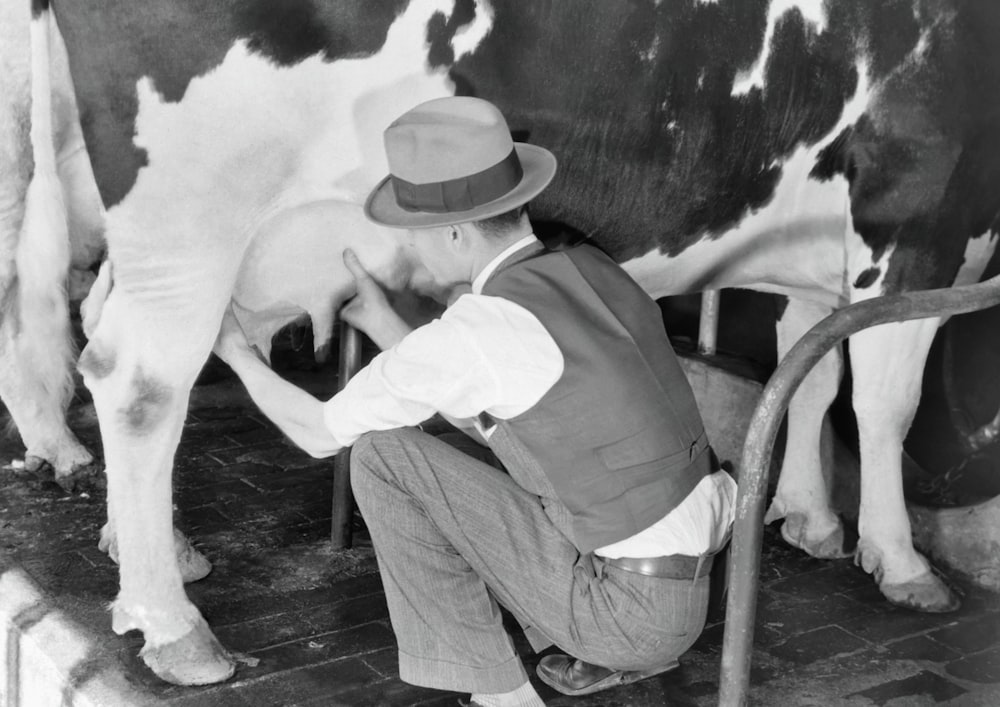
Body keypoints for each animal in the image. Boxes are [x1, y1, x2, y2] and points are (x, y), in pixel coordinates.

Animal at [11, 0, 996, 684]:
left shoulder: (832, 248)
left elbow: (814, 368)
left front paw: (809, 514)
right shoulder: (916, 212)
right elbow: (884, 403)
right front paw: (900, 557)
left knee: (97, 328)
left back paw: (150, 550)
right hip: (189, 218)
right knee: (137, 379)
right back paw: (174, 626)